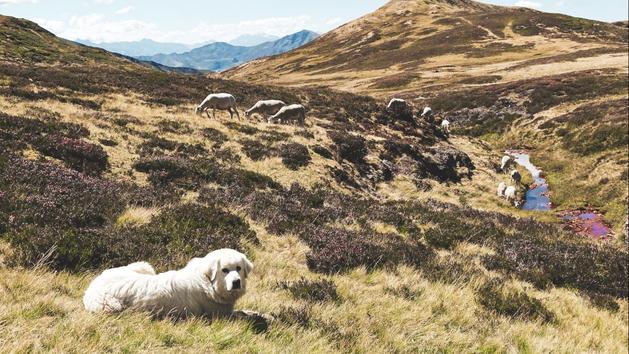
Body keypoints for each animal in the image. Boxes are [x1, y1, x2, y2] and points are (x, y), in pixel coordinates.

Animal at [83, 249, 253, 318]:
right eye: (224, 270)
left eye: (238, 268)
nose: (236, 282)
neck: (208, 282)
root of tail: (92, 285)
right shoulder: (219, 314)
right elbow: (241, 314)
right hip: (110, 306)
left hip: (143, 266)